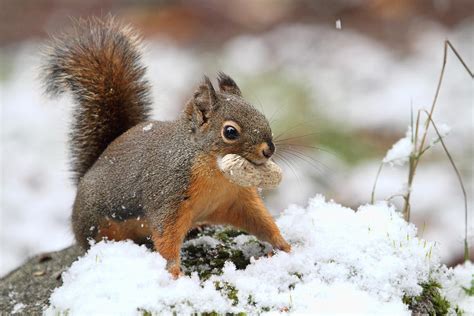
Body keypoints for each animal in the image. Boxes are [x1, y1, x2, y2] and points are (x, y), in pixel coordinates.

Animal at [42, 16, 290, 276]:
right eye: (230, 132)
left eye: (261, 116)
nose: (269, 149)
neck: (215, 172)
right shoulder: (168, 195)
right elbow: (166, 236)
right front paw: (174, 273)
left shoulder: (237, 198)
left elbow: (260, 220)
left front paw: (286, 246)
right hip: (97, 224)